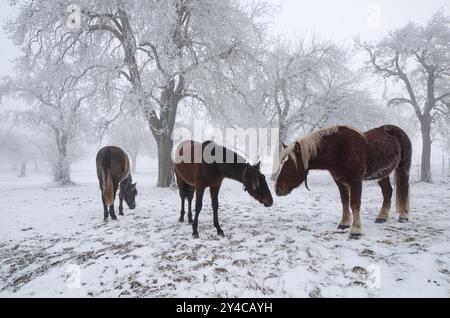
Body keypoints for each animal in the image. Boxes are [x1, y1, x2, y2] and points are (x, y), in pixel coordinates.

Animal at [274, 125, 412, 240]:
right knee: (387, 192)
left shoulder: (356, 181)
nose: (277, 189)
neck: (339, 149)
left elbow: (355, 204)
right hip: (382, 175)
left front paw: (355, 231)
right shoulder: (340, 181)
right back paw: (382, 217)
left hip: (403, 169)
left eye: (290, 165)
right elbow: (344, 201)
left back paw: (404, 216)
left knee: (403, 189)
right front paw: (344, 223)